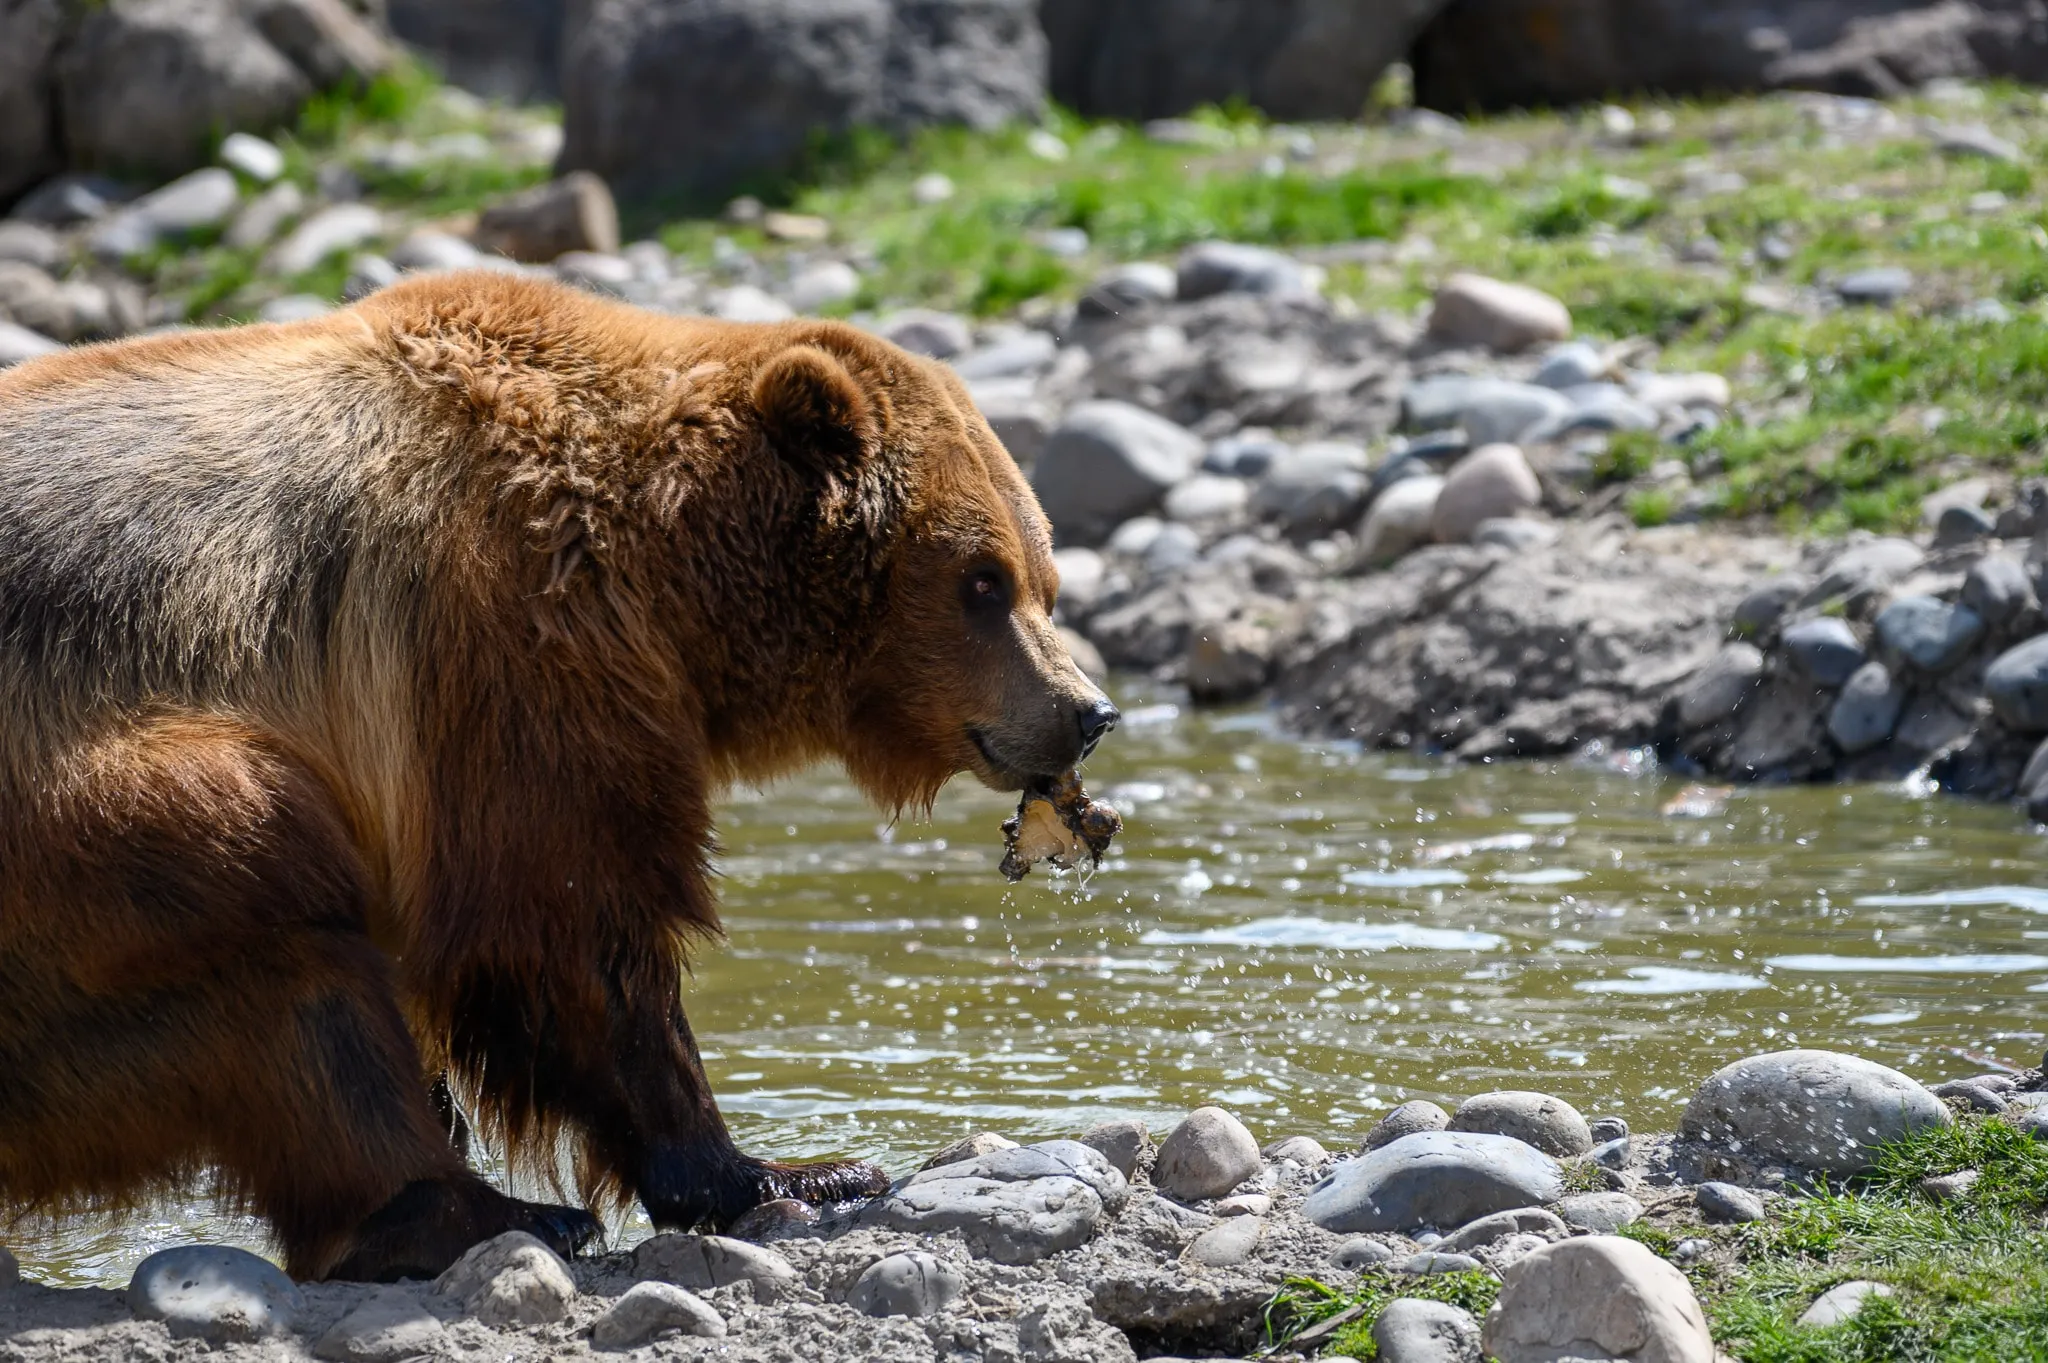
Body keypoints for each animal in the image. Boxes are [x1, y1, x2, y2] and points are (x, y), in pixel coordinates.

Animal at [0, 271, 1119, 1281]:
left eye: (1043, 575)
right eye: (982, 581)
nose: (1088, 711)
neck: (671, 574)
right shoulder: (512, 639)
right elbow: (568, 929)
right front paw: (788, 1171)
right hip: (88, 812)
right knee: (274, 907)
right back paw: (478, 1211)